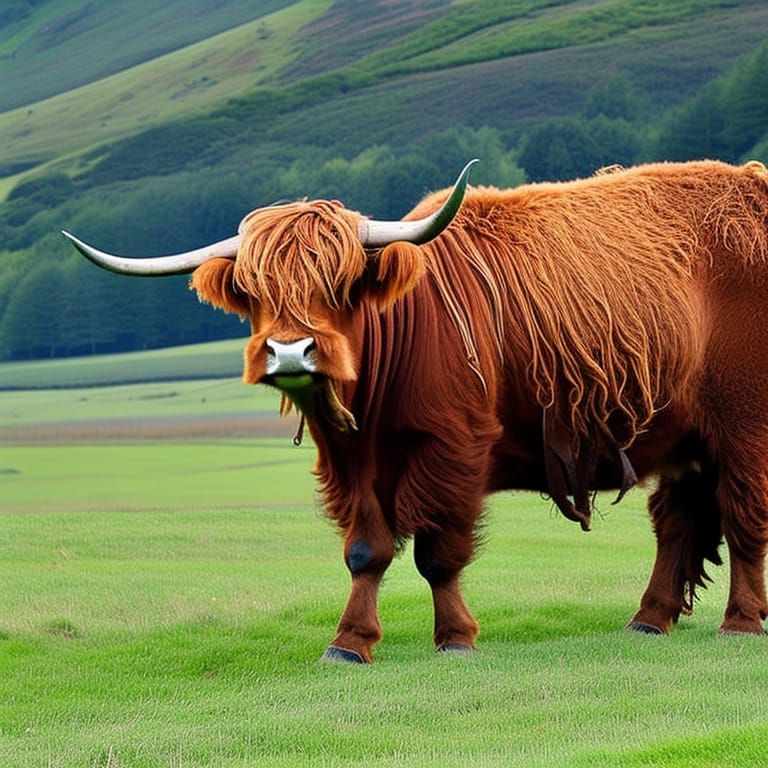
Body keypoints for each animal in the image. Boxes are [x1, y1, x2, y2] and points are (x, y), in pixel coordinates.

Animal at [63, 158, 768, 662]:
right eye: (255, 289)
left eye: (338, 284)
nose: (291, 352)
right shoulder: (352, 463)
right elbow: (365, 551)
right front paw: (350, 643)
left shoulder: (452, 448)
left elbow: (438, 552)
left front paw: (455, 638)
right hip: (686, 440)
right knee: (679, 521)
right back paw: (649, 620)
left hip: (745, 425)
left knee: (742, 518)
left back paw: (740, 623)